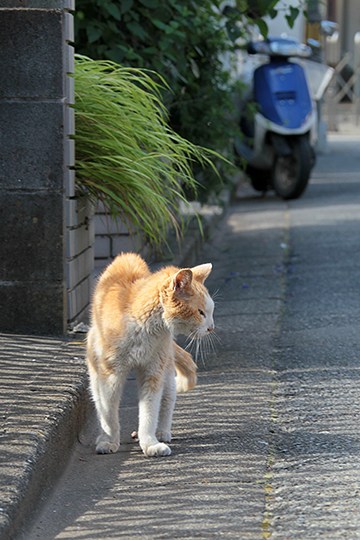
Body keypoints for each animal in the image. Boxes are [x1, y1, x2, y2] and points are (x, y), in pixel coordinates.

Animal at [86, 252, 214, 456]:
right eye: (201, 312)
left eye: (210, 312)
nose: (211, 328)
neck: (144, 327)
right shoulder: (111, 375)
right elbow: (109, 413)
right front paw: (109, 441)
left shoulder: (153, 372)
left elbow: (149, 412)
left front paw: (150, 444)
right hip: (95, 371)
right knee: (99, 402)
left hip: (167, 371)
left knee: (167, 401)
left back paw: (162, 432)